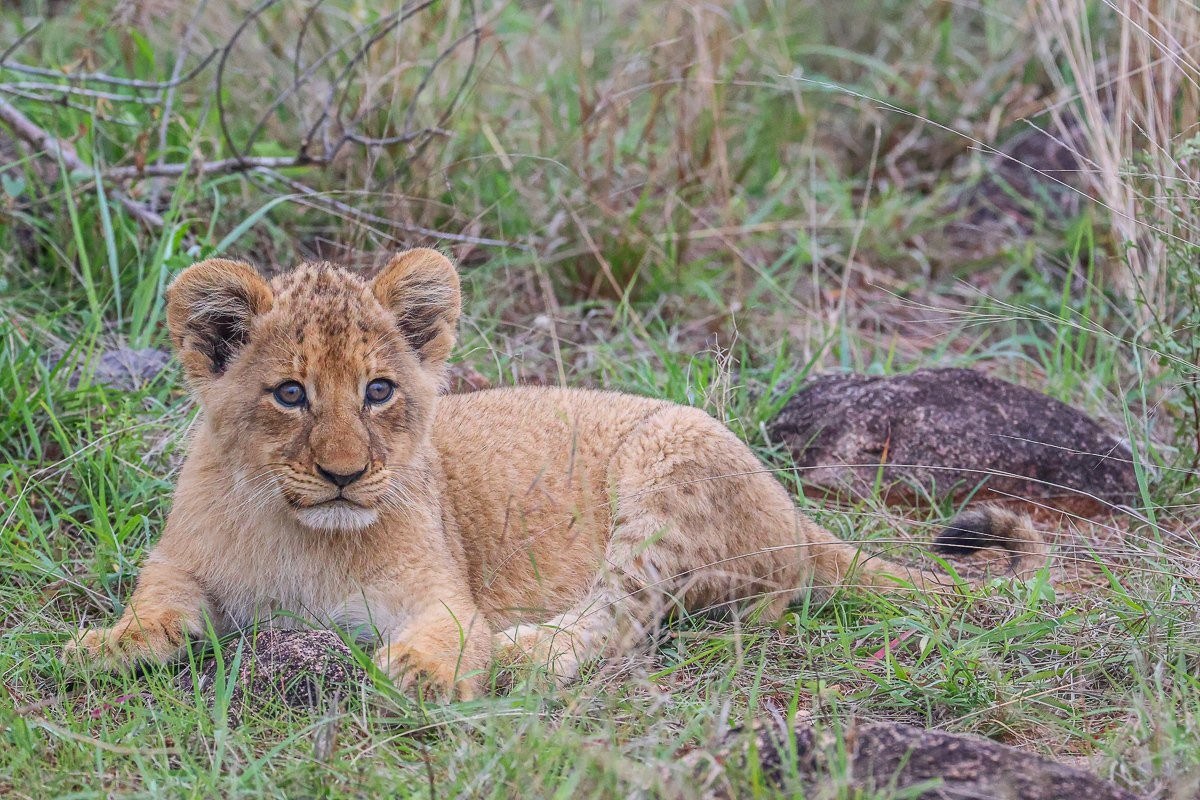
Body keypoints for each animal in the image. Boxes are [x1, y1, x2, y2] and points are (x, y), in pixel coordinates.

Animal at [65, 249, 1045, 699]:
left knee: (625, 618)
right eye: (290, 393)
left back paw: (525, 650)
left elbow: (449, 632)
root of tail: (793, 509)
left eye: (379, 391)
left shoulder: (443, 592)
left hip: (667, 464)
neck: (298, 533)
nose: (344, 475)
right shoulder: (180, 563)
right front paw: (106, 646)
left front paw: (424, 673)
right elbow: (157, 607)